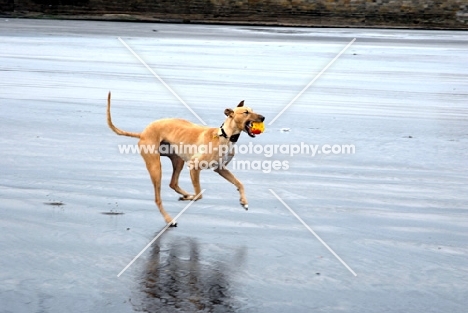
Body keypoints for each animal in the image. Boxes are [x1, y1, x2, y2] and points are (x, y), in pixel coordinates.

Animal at [107, 91, 266, 225]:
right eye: (246, 112)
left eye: (253, 110)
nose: (263, 117)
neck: (225, 136)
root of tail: (143, 133)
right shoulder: (194, 167)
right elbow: (199, 194)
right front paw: (191, 197)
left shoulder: (220, 169)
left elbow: (240, 184)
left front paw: (244, 201)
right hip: (155, 167)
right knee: (158, 198)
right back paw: (169, 219)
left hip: (178, 161)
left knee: (173, 183)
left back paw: (184, 195)